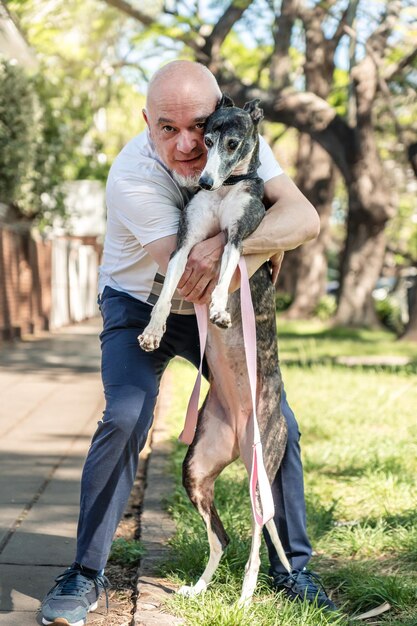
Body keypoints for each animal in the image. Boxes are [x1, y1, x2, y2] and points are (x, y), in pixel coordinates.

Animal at [138, 95, 288, 604]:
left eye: (233, 142)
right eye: (204, 139)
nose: (202, 181)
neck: (226, 190)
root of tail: (242, 434)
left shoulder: (237, 238)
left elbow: (225, 273)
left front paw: (221, 309)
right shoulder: (187, 242)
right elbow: (167, 290)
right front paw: (153, 330)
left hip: (262, 474)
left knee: (259, 535)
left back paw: (245, 597)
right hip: (197, 469)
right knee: (222, 537)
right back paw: (200, 589)